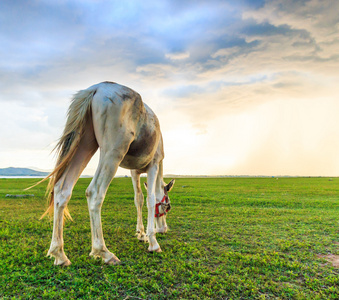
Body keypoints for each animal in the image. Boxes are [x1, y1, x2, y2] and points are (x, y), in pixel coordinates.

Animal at [33, 81, 175, 264]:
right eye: (168, 206)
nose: (164, 229)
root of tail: (96, 88)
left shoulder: (134, 172)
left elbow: (138, 199)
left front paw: (141, 234)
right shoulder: (154, 165)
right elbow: (151, 199)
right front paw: (152, 241)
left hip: (84, 144)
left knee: (62, 189)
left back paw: (59, 254)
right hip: (112, 153)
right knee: (94, 192)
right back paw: (103, 252)